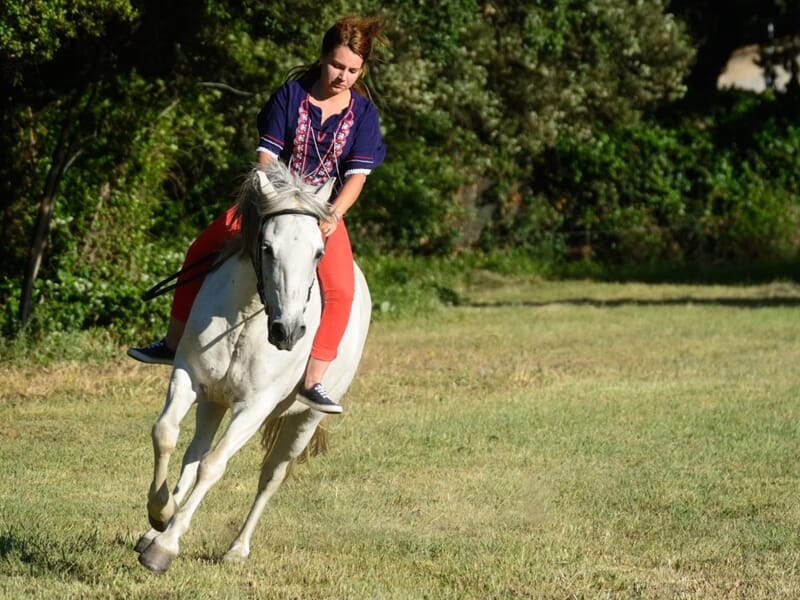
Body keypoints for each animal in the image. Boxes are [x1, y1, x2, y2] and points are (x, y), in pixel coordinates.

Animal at [135, 161, 371, 574]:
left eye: (318, 253)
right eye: (266, 248)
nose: (288, 331)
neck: (247, 315)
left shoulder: (255, 408)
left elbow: (214, 466)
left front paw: (165, 547)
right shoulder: (189, 377)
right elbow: (165, 434)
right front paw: (160, 515)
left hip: (303, 421)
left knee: (270, 475)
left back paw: (237, 548)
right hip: (213, 401)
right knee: (192, 452)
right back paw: (159, 524)